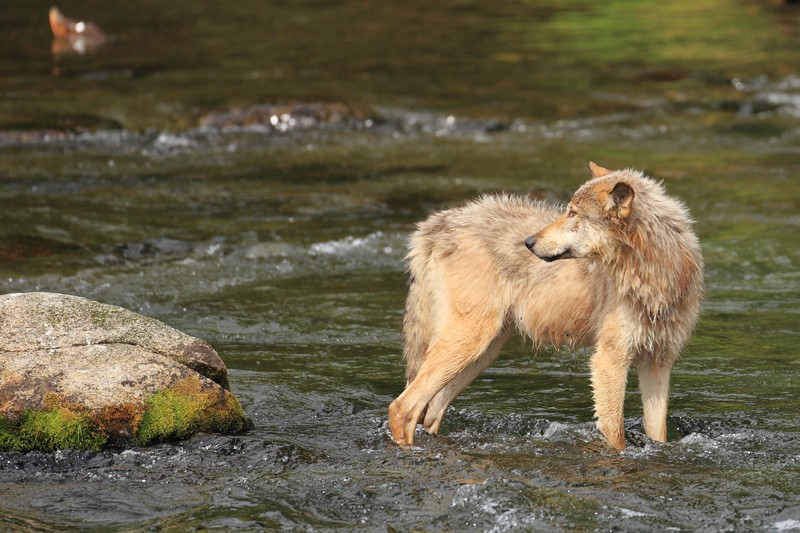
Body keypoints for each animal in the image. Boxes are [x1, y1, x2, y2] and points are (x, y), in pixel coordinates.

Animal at [390, 162, 704, 448]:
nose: (528, 242)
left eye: (573, 213)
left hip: (482, 353)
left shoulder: (658, 363)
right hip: (469, 342)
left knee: (430, 412)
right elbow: (616, 435)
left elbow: (659, 434)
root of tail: (436, 223)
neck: (656, 276)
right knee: (402, 407)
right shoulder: (609, 360)